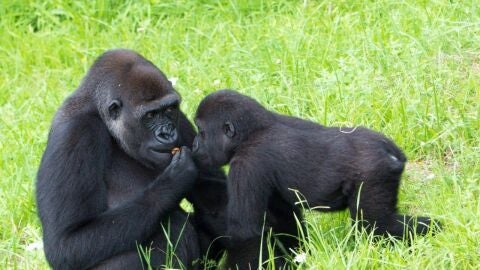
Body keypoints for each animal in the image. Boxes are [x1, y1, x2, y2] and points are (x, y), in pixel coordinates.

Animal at [35, 49, 227, 268]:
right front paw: (172, 182)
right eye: (150, 115)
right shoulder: (75, 133)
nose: (167, 134)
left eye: (170, 109)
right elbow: (66, 243)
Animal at [193, 89, 440, 268]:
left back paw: (434, 230)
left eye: (202, 133)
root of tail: (390, 150)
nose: (195, 145)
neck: (253, 131)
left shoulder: (246, 165)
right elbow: (284, 219)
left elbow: (245, 234)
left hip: (374, 174)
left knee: (377, 226)